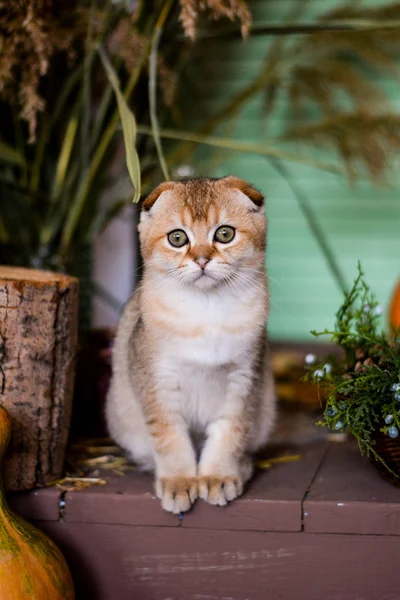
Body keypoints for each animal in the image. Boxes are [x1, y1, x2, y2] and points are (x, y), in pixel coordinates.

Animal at [104, 176, 276, 512]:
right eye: (177, 238)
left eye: (224, 233)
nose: (202, 260)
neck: (206, 312)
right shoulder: (157, 382)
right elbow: (170, 438)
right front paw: (179, 481)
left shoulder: (244, 379)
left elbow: (229, 433)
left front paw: (217, 475)